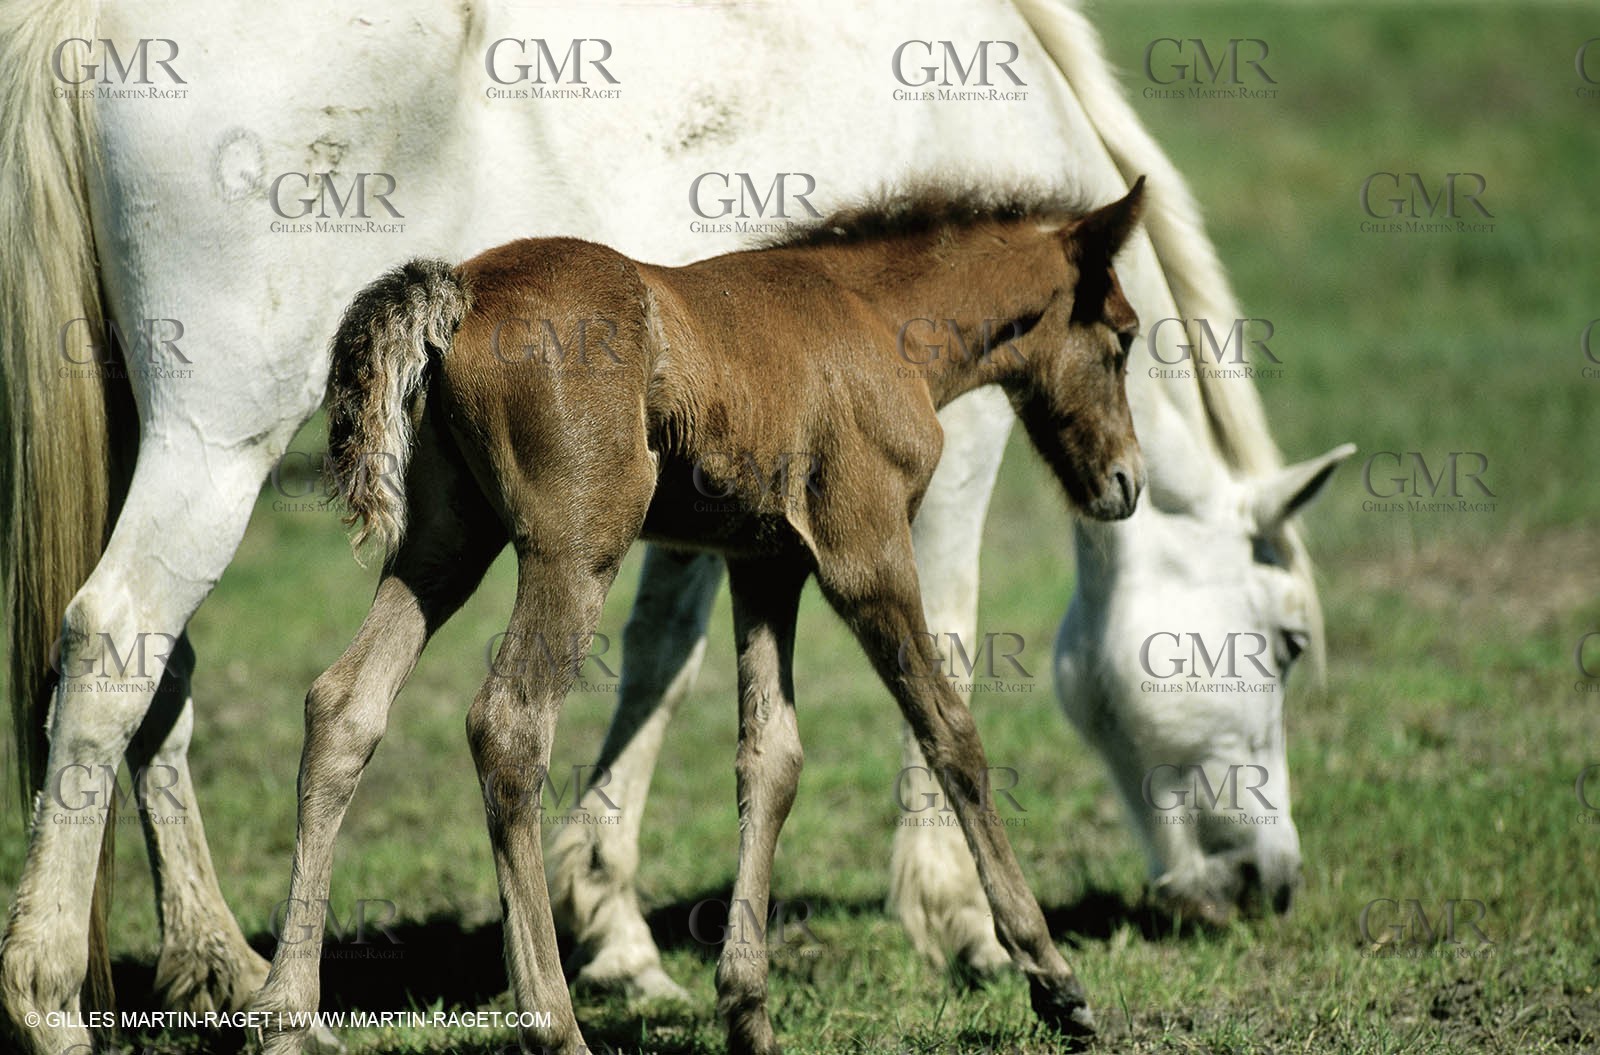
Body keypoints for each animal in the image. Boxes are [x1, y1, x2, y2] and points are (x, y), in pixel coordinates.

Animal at [251, 180, 1148, 1055]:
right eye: (1127, 336)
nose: (1127, 480)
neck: (877, 312)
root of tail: (462, 288)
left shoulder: (765, 563)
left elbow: (772, 758)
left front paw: (748, 1010)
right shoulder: (868, 548)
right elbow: (951, 731)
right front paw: (1054, 978)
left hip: (444, 541)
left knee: (345, 704)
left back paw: (287, 1017)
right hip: (576, 546)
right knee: (508, 725)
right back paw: (555, 1024)